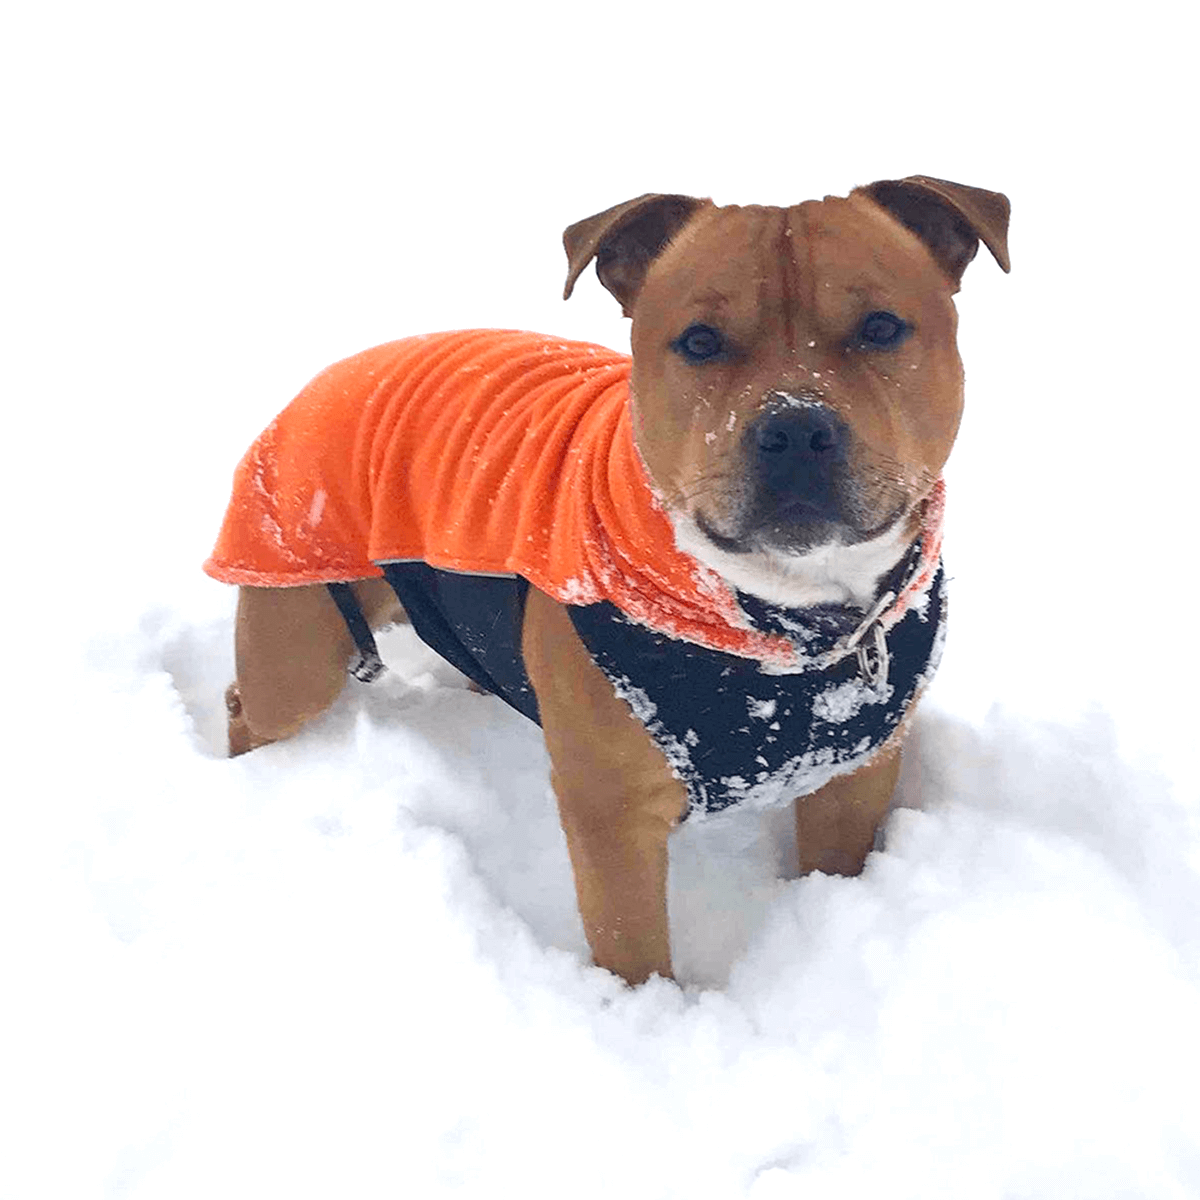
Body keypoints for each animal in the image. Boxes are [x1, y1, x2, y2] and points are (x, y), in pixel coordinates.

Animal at [211, 177, 1008, 984]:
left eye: (880, 327)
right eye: (699, 341)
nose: (794, 429)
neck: (791, 616)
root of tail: (332, 372)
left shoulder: (856, 776)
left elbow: (835, 861)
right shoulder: (612, 819)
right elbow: (632, 944)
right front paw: (645, 1008)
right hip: (298, 649)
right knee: (251, 703)